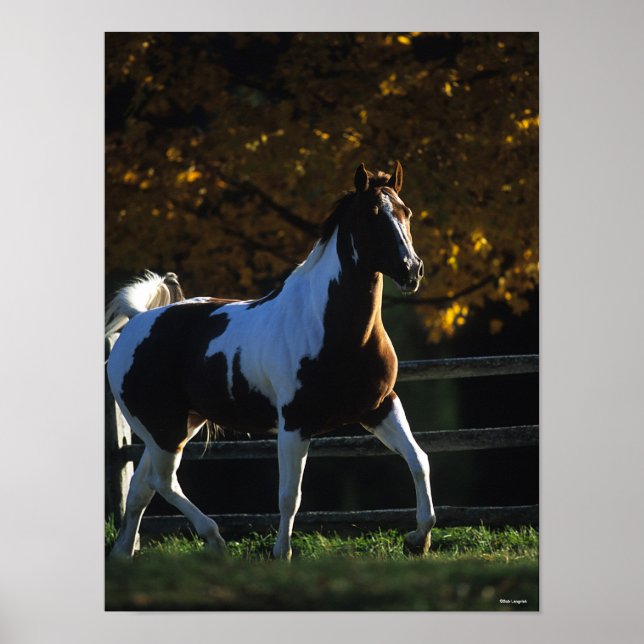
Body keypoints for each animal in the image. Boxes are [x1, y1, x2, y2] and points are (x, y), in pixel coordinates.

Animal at [105, 162, 436, 560]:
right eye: (372, 214)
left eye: (406, 212)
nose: (412, 270)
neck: (332, 328)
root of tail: (138, 320)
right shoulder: (294, 423)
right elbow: (289, 495)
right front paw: (282, 554)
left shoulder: (380, 407)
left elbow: (418, 460)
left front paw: (418, 540)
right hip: (163, 428)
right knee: (163, 481)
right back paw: (214, 539)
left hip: (177, 426)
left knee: (143, 487)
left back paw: (124, 553)